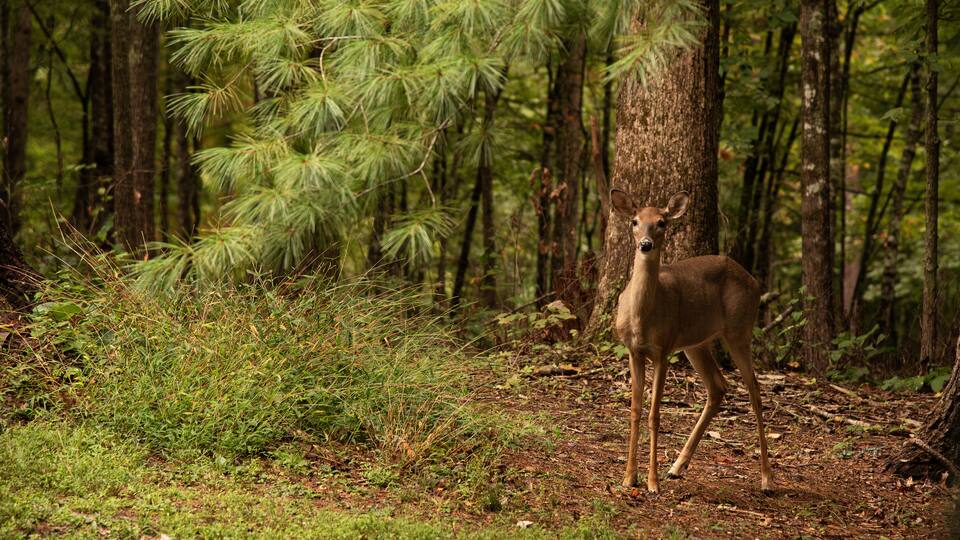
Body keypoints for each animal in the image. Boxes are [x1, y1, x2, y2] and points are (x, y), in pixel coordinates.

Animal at [609, 189, 773, 494]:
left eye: (661, 222)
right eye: (635, 221)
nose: (646, 245)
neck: (643, 317)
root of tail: (754, 281)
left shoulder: (663, 350)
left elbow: (655, 414)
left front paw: (652, 482)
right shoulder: (633, 351)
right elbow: (636, 410)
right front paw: (628, 477)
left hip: (739, 330)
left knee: (755, 391)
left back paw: (767, 478)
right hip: (696, 344)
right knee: (719, 386)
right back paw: (677, 467)